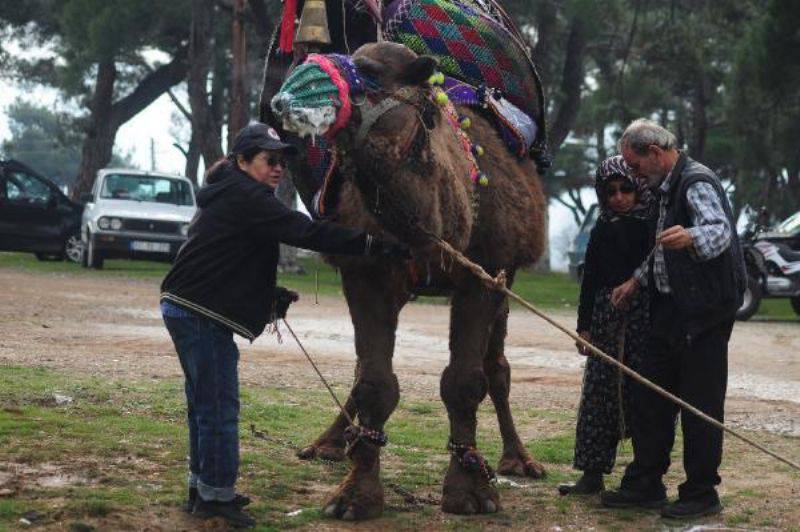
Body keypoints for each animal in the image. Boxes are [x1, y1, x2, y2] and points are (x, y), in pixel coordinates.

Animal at [270, 42, 552, 520]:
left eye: (368, 71)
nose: (284, 97)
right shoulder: (367, 271)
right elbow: (373, 382)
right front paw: (355, 495)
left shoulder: (482, 274)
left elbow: (465, 382)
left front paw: (470, 492)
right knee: (364, 368)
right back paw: (328, 444)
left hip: (508, 276)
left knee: (497, 365)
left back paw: (519, 459)